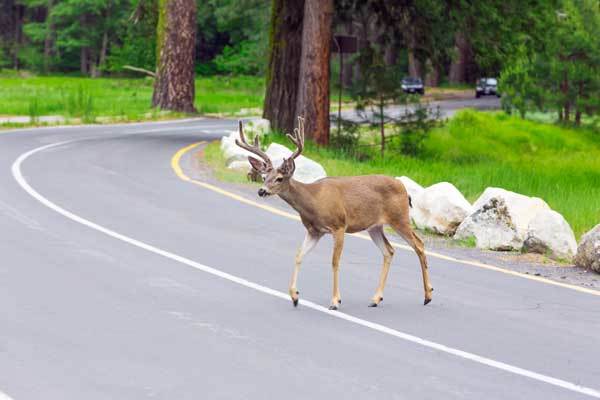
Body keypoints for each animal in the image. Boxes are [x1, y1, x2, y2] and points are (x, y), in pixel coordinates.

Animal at [234, 115, 432, 310]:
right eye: (263, 176)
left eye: (279, 178)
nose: (261, 191)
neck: (314, 201)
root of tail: (404, 189)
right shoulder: (314, 231)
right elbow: (299, 255)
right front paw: (294, 296)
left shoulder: (339, 226)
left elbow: (334, 262)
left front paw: (335, 301)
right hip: (375, 226)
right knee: (389, 250)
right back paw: (376, 299)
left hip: (399, 217)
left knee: (419, 245)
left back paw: (427, 296)